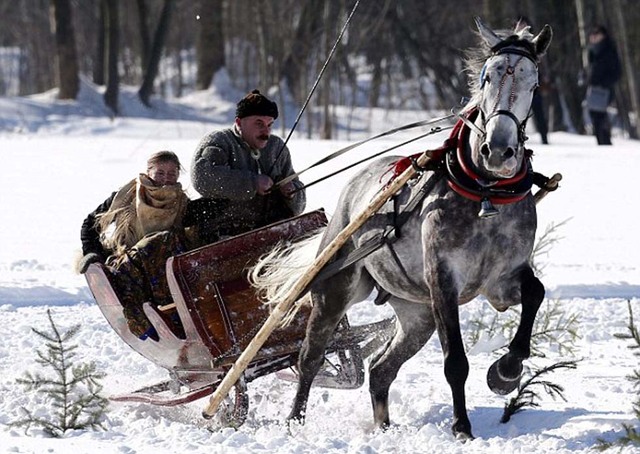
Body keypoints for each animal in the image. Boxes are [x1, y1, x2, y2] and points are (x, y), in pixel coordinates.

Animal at [252, 17, 552, 440]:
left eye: (533, 84)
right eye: (488, 77)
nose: (498, 150)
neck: (485, 193)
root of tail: (354, 187)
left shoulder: (503, 278)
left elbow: (535, 293)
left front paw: (506, 372)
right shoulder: (442, 279)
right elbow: (455, 361)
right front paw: (462, 426)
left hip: (416, 313)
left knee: (381, 369)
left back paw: (383, 427)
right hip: (338, 287)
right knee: (311, 355)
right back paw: (295, 421)